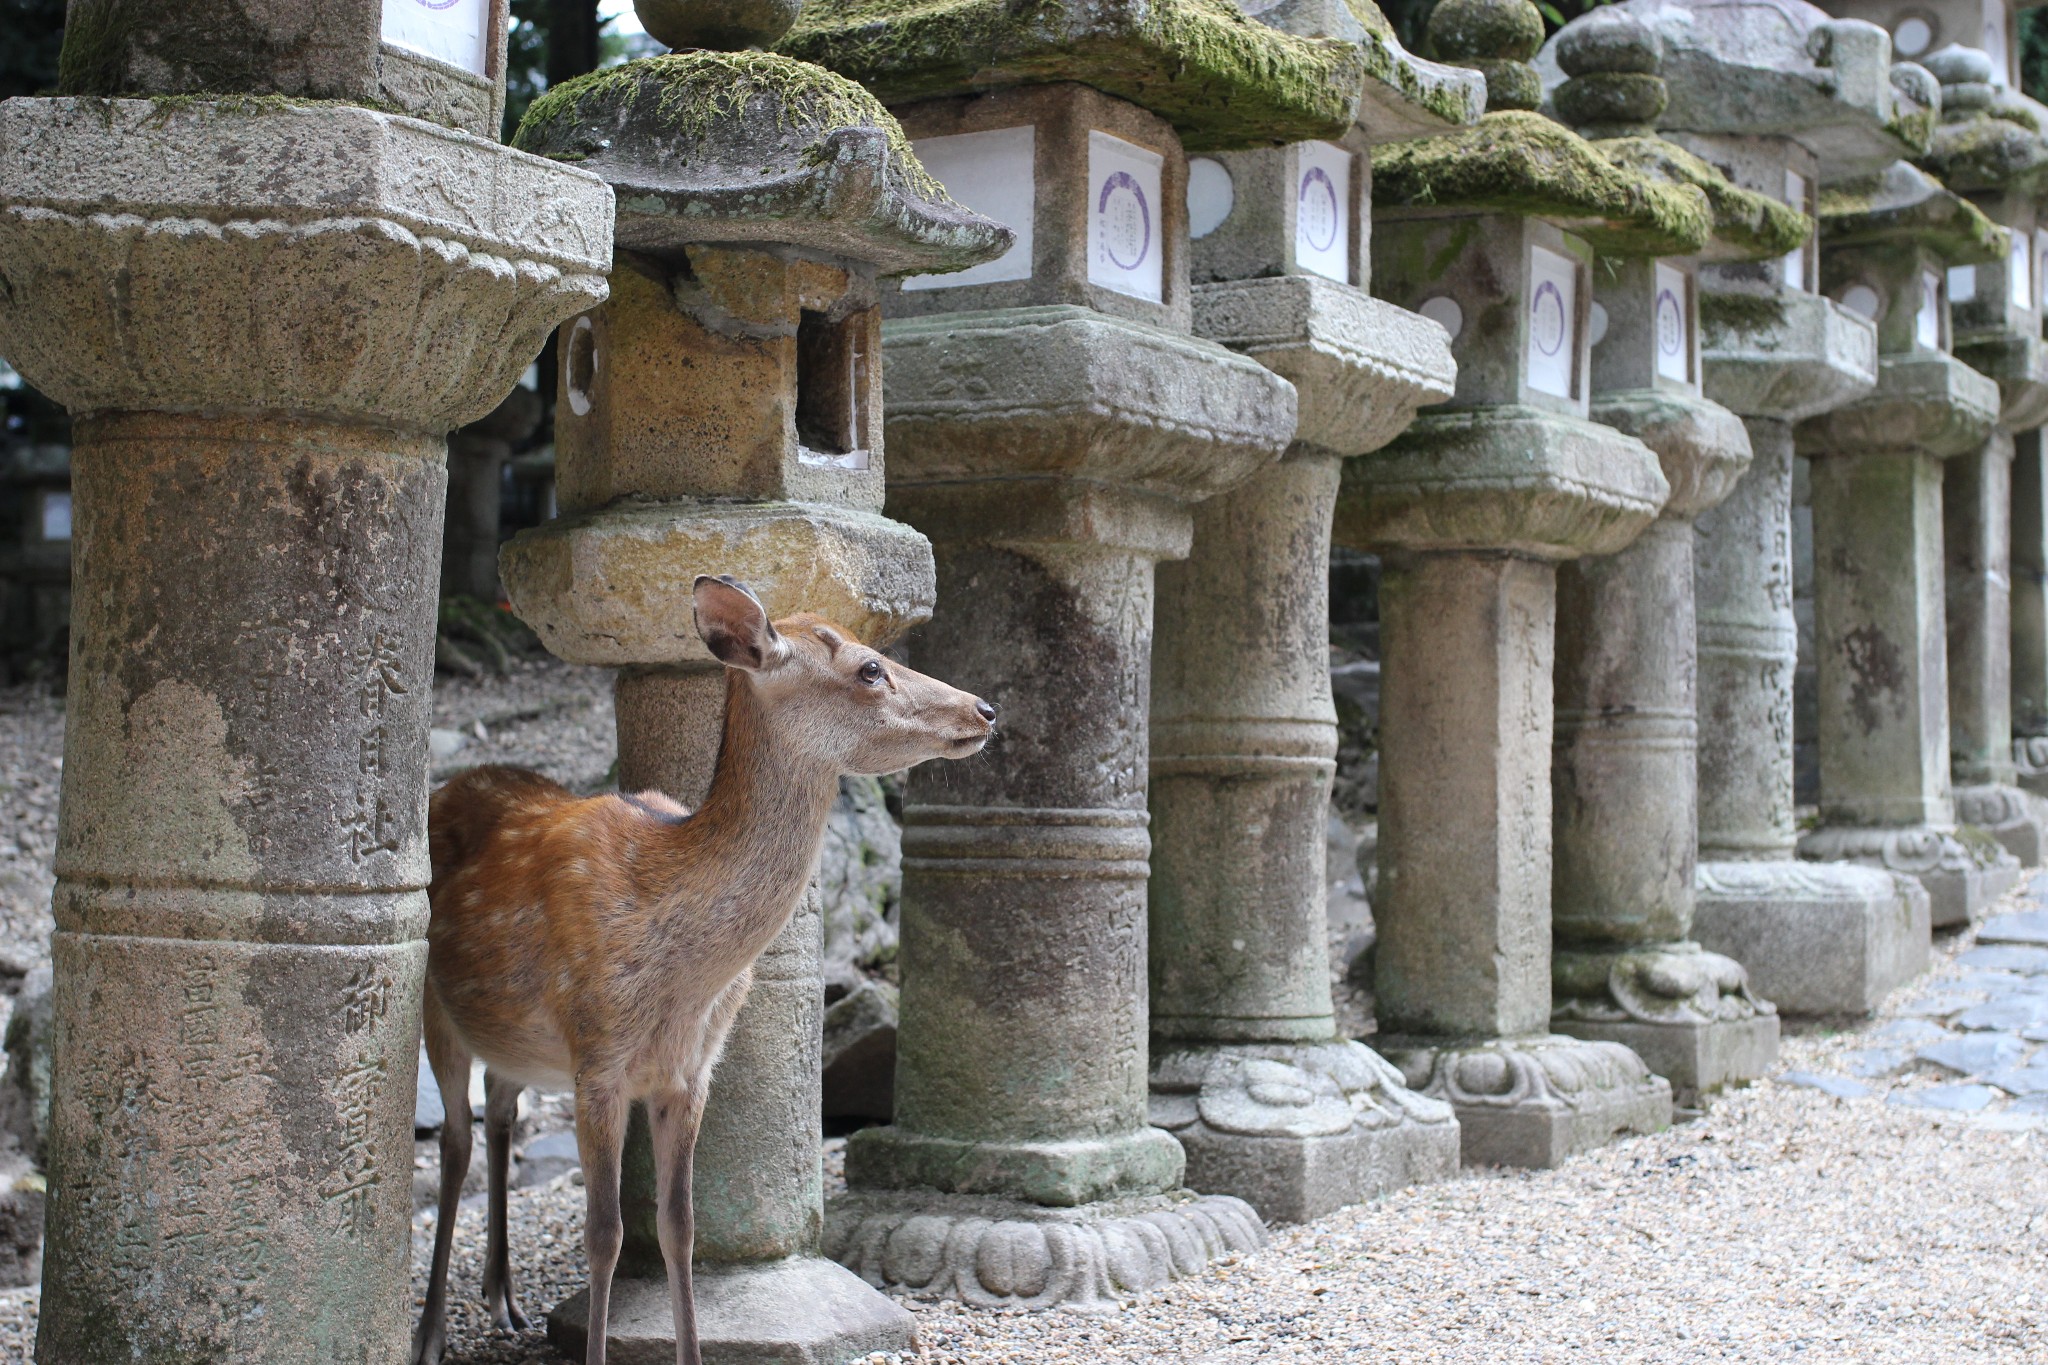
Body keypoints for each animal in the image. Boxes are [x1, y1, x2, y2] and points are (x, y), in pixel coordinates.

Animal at [411, 577, 995, 1365]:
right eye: (871, 668)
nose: (984, 709)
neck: (683, 983)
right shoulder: (598, 1058)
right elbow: (605, 1234)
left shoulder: (690, 1072)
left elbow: (679, 1227)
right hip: (434, 1007)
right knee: (455, 1140)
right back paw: (430, 1331)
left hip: (514, 1037)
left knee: (499, 1112)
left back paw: (502, 1297)